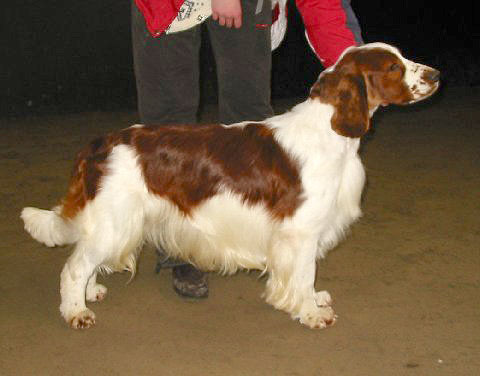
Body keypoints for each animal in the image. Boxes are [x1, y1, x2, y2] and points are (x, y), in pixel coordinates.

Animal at [24, 43, 440, 328]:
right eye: (393, 67)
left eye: (401, 58)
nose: (436, 74)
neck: (330, 131)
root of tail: (99, 144)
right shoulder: (300, 232)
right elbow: (304, 272)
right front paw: (310, 312)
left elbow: (306, 277)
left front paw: (314, 300)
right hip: (116, 219)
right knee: (74, 266)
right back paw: (76, 310)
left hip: (115, 221)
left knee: (86, 258)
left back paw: (90, 292)